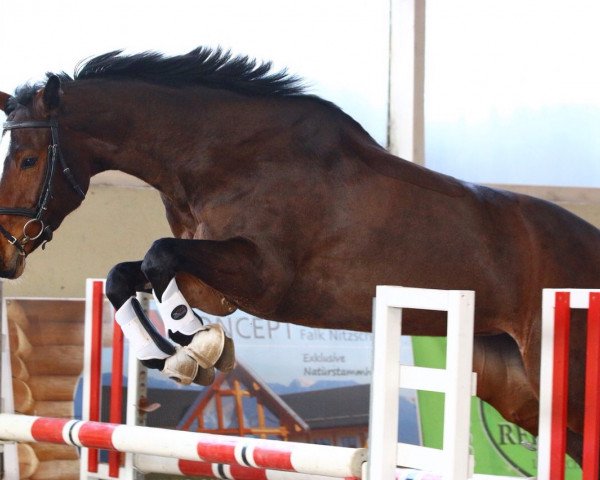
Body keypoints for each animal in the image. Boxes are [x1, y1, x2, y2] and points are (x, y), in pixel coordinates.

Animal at [1, 48, 600, 468]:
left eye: (28, 158)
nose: (8, 256)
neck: (223, 157)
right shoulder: (213, 281)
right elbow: (127, 275)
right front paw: (174, 355)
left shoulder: (262, 276)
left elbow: (155, 258)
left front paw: (200, 347)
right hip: (521, 388)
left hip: (561, 375)